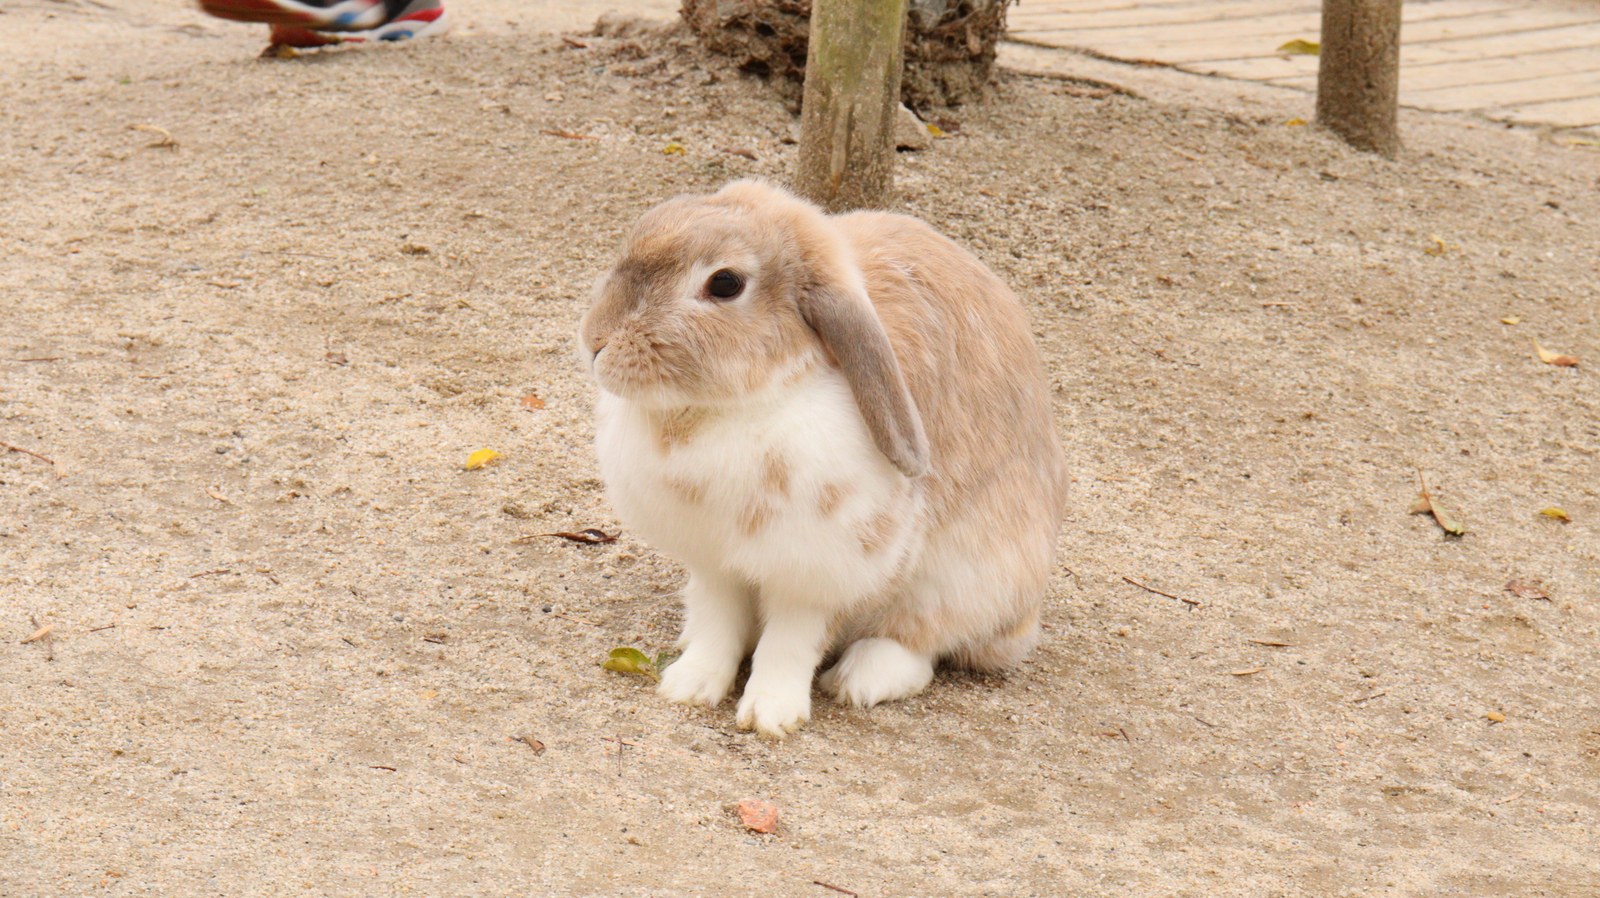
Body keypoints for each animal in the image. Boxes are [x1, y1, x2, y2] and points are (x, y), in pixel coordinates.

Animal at [578, 179, 1068, 737]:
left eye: (725, 283)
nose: (595, 342)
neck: (731, 404)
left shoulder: (812, 574)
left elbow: (790, 643)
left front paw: (770, 714)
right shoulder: (714, 564)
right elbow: (717, 625)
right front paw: (689, 687)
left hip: (965, 583)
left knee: (924, 644)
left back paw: (861, 678)